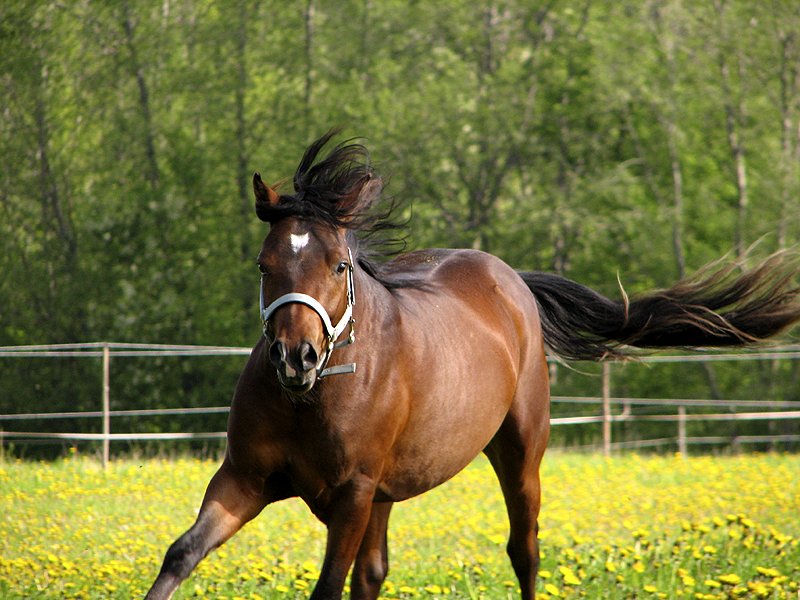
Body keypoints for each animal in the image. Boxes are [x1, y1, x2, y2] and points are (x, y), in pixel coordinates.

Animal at [144, 132, 800, 600]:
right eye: (264, 263)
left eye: (338, 264)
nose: (294, 357)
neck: (313, 397)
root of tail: (512, 280)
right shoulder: (246, 479)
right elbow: (181, 552)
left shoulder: (352, 494)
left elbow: (328, 589)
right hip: (388, 491)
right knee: (375, 573)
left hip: (520, 452)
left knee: (524, 550)